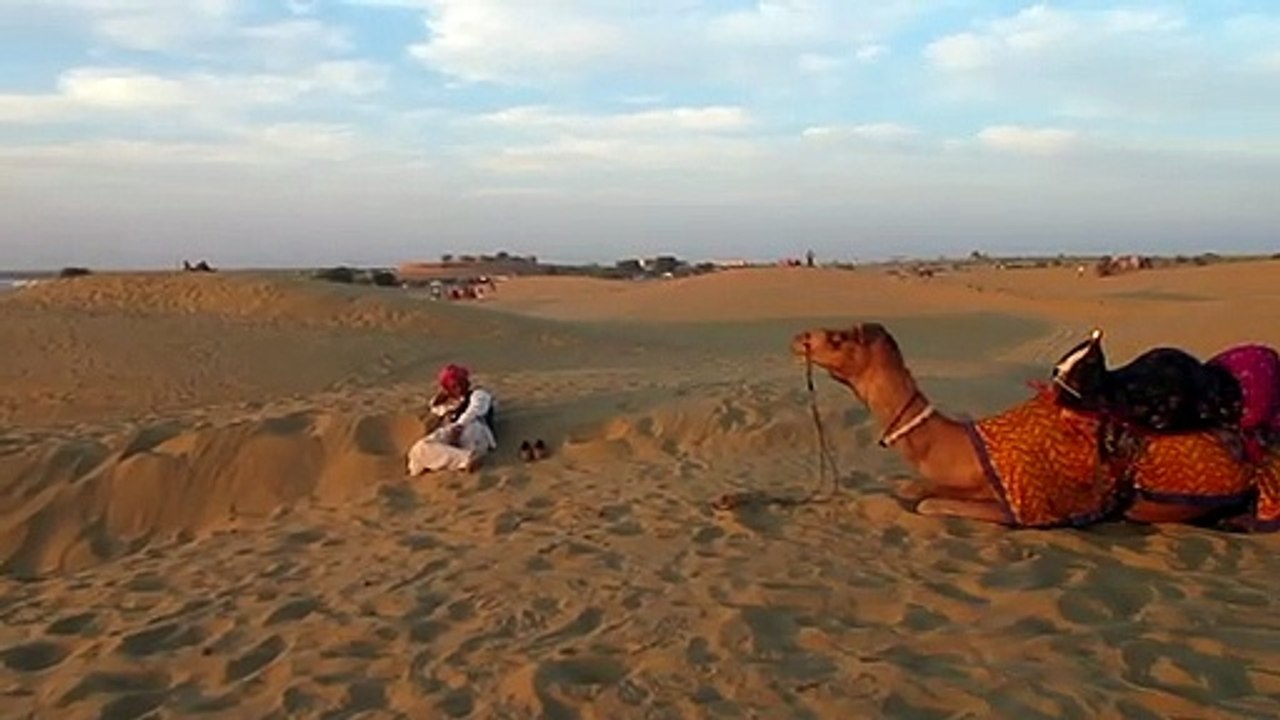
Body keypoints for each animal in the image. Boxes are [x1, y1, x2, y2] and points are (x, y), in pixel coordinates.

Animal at [791, 323, 1280, 529]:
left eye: (839, 339)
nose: (799, 337)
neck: (968, 445)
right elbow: (912, 489)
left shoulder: (1021, 505)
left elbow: (928, 504)